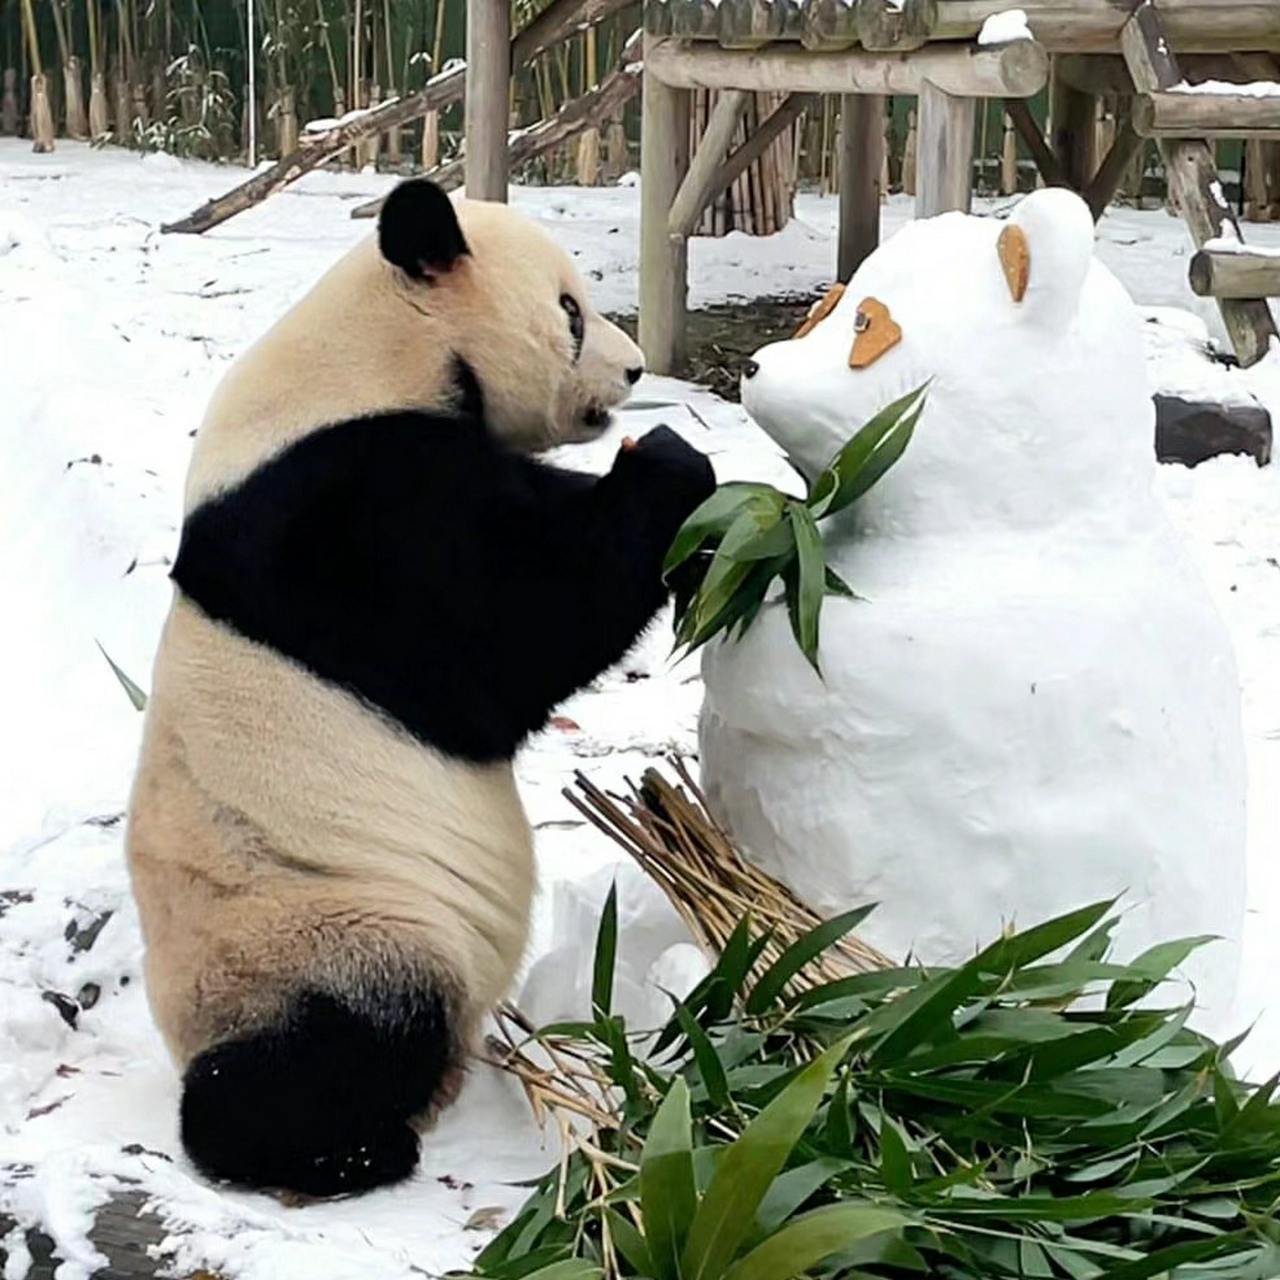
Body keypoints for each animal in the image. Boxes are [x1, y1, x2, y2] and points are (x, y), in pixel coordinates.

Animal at [124, 177, 716, 1198]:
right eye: (570, 312)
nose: (637, 370)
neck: (378, 349)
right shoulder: (350, 513)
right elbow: (509, 625)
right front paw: (673, 463)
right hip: (324, 933)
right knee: (331, 1048)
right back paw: (339, 1148)